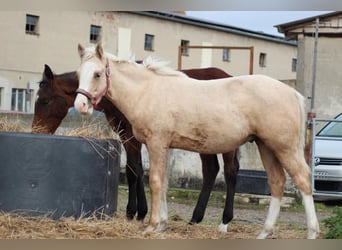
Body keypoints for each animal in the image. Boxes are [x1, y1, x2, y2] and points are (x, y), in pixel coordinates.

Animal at [32, 63, 240, 229]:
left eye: (45, 100)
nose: (36, 131)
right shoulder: (128, 135)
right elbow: (137, 169)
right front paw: (141, 213)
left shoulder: (132, 136)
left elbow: (133, 171)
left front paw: (133, 212)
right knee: (210, 170)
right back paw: (195, 219)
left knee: (230, 171)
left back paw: (224, 220)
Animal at [74, 44, 320, 238]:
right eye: (78, 73)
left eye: (97, 74)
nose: (81, 106)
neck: (149, 91)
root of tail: (292, 93)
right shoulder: (165, 146)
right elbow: (164, 183)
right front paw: (162, 224)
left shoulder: (156, 143)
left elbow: (155, 181)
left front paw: (152, 225)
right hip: (266, 146)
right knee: (277, 182)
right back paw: (265, 232)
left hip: (284, 147)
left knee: (303, 180)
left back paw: (311, 232)